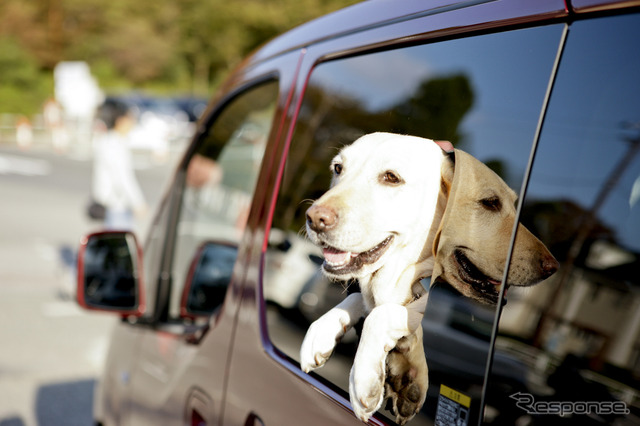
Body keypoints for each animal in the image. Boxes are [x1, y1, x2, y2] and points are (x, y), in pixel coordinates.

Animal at [300, 132, 556, 422]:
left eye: (391, 177)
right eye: (338, 168)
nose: (314, 218)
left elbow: (382, 313)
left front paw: (365, 377)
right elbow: (365, 301)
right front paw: (322, 333)